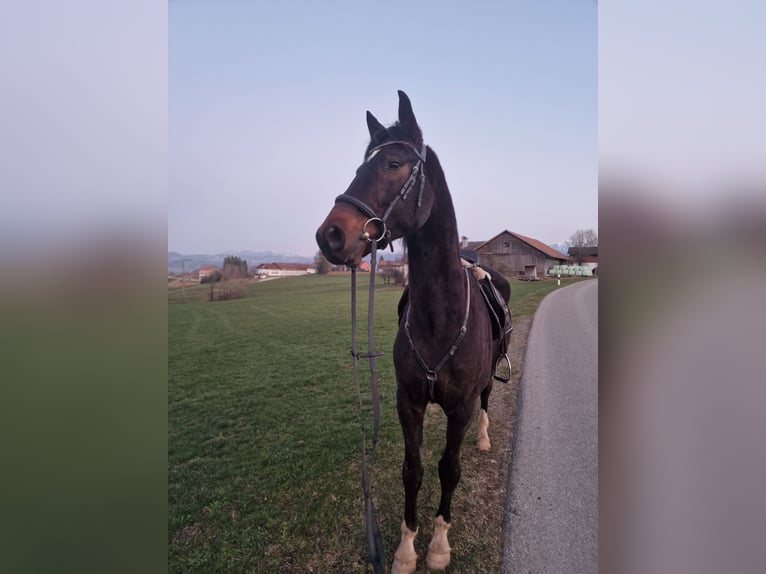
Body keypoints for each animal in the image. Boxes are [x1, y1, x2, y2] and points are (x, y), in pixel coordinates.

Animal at [316, 91, 511, 573]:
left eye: (394, 163)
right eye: (359, 166)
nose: (331, 235)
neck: (439, 316)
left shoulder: (459, 406)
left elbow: (449, 469)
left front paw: (439, 544)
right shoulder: (410, 403)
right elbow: (414, 470)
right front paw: (406, 549)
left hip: (487, 379)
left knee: (486, 402)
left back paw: (483, 437)